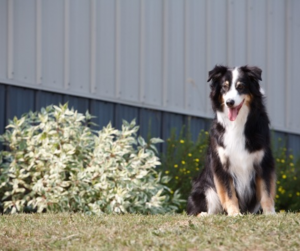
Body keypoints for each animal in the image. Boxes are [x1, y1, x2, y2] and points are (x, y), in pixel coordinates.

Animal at [188, 64, 276, 216]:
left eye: (241, 87)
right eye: (225, 86)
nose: (229, 102)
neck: (237, 123)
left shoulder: (263, 162)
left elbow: (266, 192)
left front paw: (270, 213)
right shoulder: (221, 164)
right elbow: (229, 193)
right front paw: (235, 214)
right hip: (205, 188)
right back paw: (205, 215)